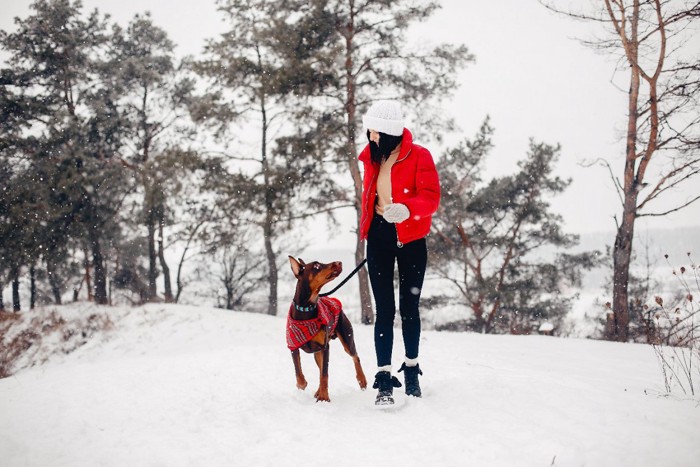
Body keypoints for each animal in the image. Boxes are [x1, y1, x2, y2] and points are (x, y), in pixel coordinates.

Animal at [288, 256, 370, 402]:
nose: (339, 262)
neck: (306, 309)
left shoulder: (325, 347)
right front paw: (302, 385)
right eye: (316, 266)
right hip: (317, 353)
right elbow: (298, 371)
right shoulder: (293, 345)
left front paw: (324, 398)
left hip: (347, 338)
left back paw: (362, 380)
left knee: (355, 357)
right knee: (320, 367)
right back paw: (317, 391)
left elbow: (324, 374)